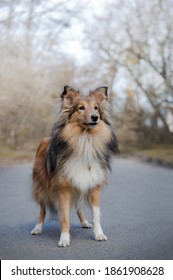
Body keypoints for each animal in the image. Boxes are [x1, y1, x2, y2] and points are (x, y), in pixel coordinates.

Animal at [30, 86, 118, 247]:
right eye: (81, 108)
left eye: (96, 108)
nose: (95, 117)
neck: (85, 140)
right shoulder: (64, 189)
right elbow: (64, 217)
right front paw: (64, 239)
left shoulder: (93, 186)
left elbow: (96, 215)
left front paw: (99, 234)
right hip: (41, 189)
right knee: (42, 211)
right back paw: (37, 228)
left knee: (78, 207)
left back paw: (84, 222)